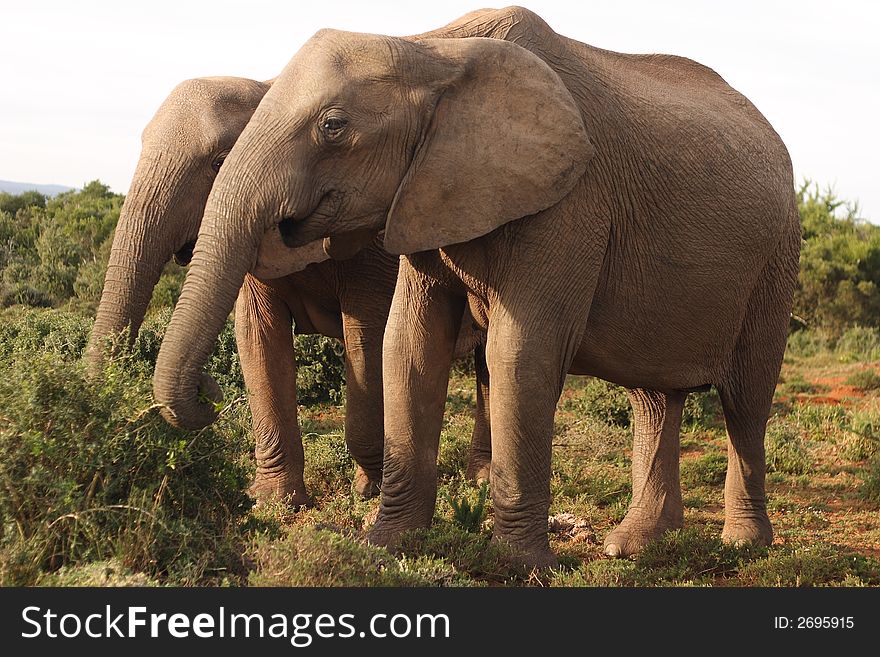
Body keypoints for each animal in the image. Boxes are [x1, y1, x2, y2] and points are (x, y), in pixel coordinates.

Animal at [153, 5, 804, 564]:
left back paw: (744, 545)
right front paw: (386, 545)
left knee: (746, 399)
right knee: (653, 398)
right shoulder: (426, 192)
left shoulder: (571, 199)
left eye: (333, 127)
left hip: (777, 260)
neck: (433, 47)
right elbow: (409, 345)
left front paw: (516, 564)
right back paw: (634, 546)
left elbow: (522, 352)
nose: (207, 393)